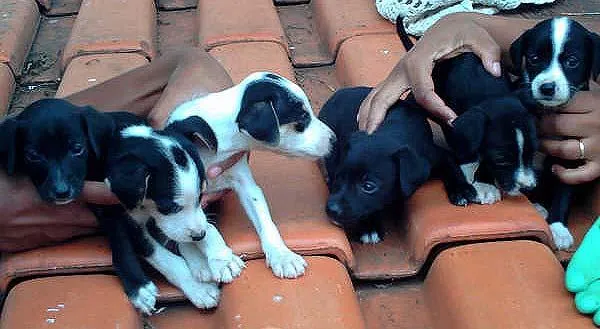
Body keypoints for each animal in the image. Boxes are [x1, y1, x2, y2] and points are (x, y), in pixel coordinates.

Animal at [318, 86, 478, 242]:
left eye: (368, 186)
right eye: (340, 178)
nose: (331, 209)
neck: (392, 132)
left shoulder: (435, 154)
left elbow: (451, 165)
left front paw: (461, 189)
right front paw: (369, 226)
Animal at [508, 17, 600, 249]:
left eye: (573, 61)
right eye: (534, 59)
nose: (547, 87)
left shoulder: (570, 159)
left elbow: (564, 192)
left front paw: (558, 228)